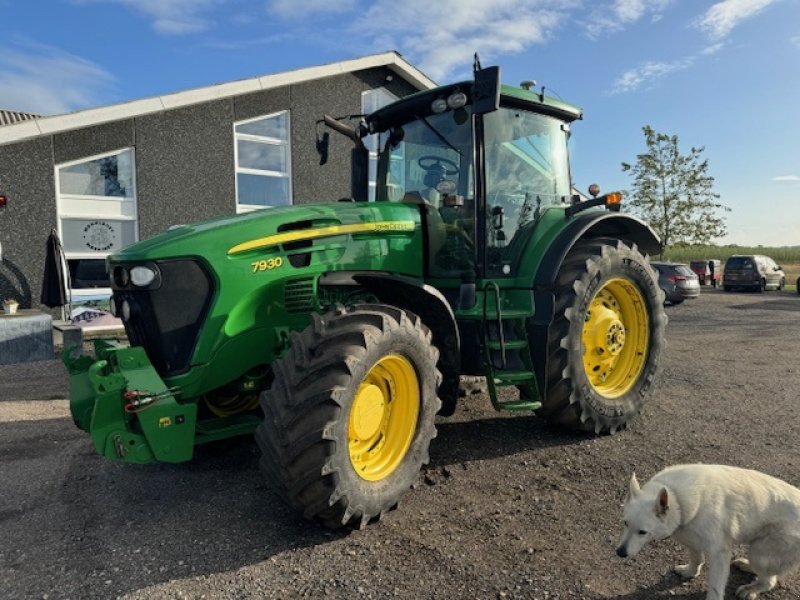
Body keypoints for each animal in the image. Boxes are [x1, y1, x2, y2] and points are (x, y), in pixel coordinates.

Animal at [620, 466, 800, 596]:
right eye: (625, 523)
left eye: (642, 532)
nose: (619, 553)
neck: (677, 497)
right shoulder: (690, 538)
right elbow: (696, 559)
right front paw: (690, 572)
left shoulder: (719, 554)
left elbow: (715, 587)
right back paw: (746, 565)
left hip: (760, 553)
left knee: (769, 581)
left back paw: (751, 589)